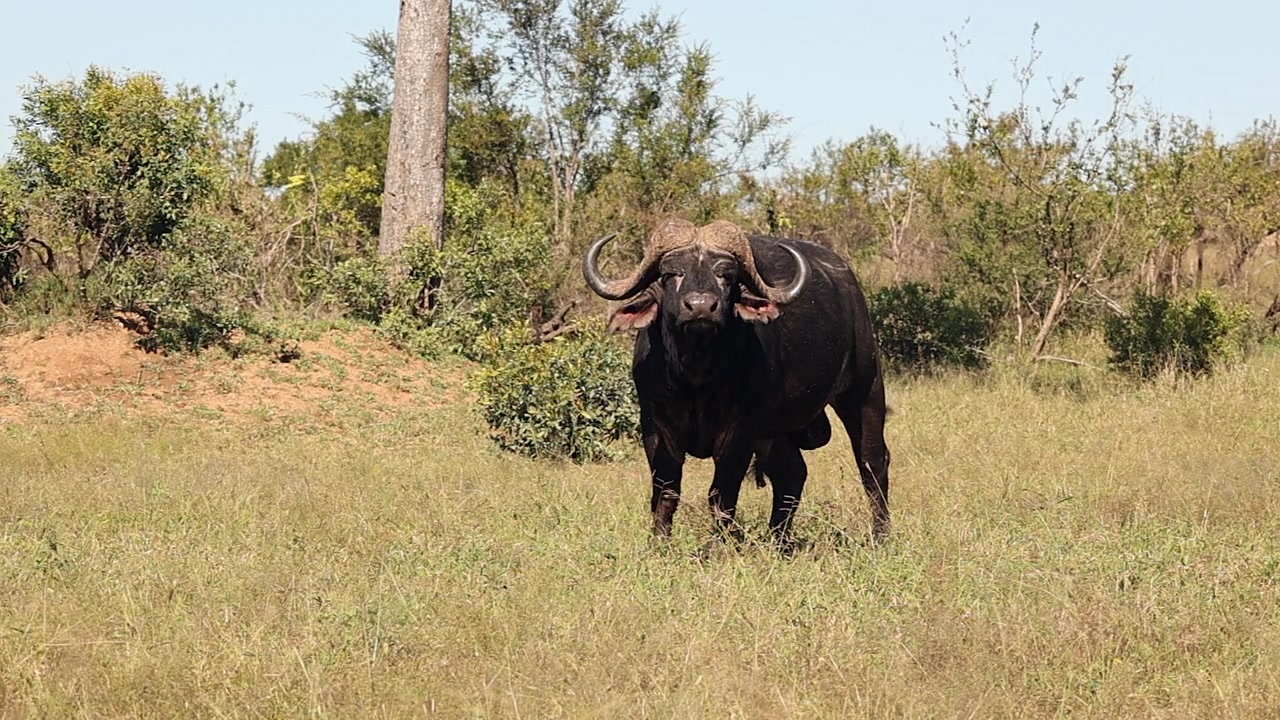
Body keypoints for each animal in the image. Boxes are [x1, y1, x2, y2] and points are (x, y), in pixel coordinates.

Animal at [582, 218, 891, 547]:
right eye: (670, 274)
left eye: (726, 276)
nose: (700, 306)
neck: (694, 377)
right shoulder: (655, 429)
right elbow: (666, 492)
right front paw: (660, 542)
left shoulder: (739, 432)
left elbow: (721, 495)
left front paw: (720, 545)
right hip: (776, 427)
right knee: (792, 474)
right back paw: (779, 540)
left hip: (863, 390)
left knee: (872, 461)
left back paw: (880, 534)